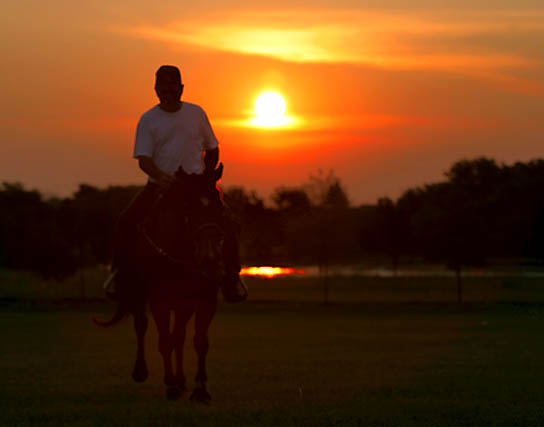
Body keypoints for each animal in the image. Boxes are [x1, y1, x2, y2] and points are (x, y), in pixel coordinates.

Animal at [94, 164, 228, 402]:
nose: (210, 258)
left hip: (183, 303)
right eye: (188, 206)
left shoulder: (204, 299)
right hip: (138, 293)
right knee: (142, 325)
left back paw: (181, 380)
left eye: (219, 205)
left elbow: (199, 341)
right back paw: (142, 372)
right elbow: (164, 340)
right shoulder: (159, 300)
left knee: (179, 335)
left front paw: (200, 389)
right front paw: (170, 386)